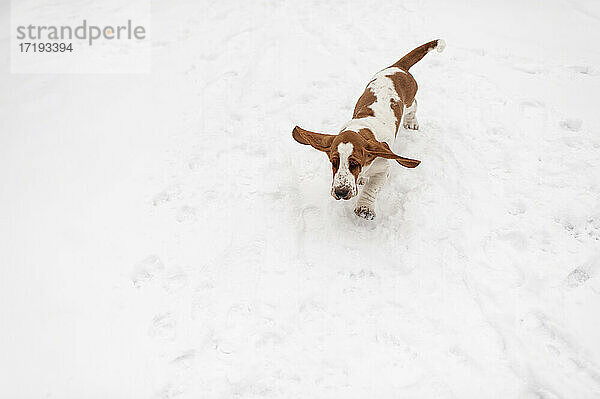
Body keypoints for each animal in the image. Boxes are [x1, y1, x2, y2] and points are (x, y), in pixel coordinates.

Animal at [292, 39, 442, 220]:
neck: (361, 129)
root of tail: (398, 67)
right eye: (334, 162)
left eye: (354, 163)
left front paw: (365, 208)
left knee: (414, 106)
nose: (340, 193)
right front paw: (361, 181)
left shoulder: (383, 169)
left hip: (409, 101)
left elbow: (372, 188)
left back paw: (411, 122)